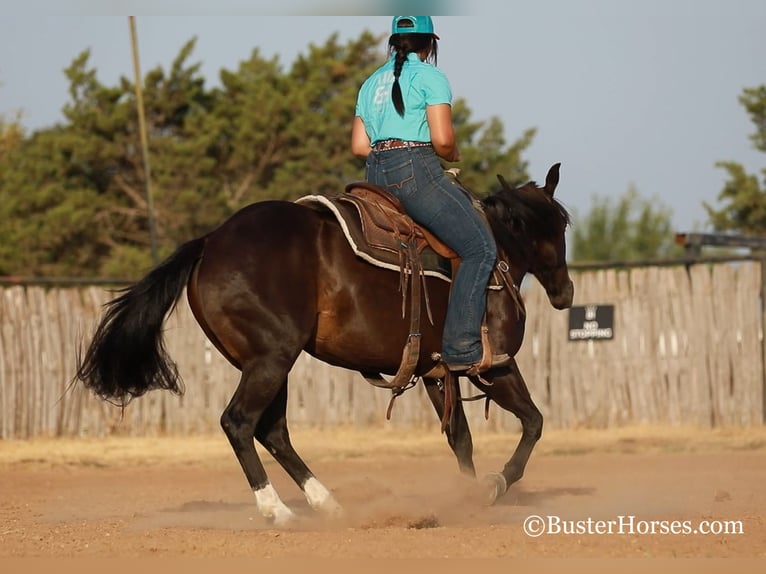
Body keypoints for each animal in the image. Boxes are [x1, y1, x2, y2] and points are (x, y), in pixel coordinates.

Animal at [75, 162, 572, 528]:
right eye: (561, 226)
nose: (565, 291)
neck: (495, 256)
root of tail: (211, 241)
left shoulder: (435, 372)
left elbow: (460, 439)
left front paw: (467, 495)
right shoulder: (495, 366)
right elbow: (533, 422)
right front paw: (493, 486)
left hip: (265, 363)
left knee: (272, 431)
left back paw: (328, 503)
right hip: (272, 360)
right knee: (239, 423)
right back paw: (277, 510)